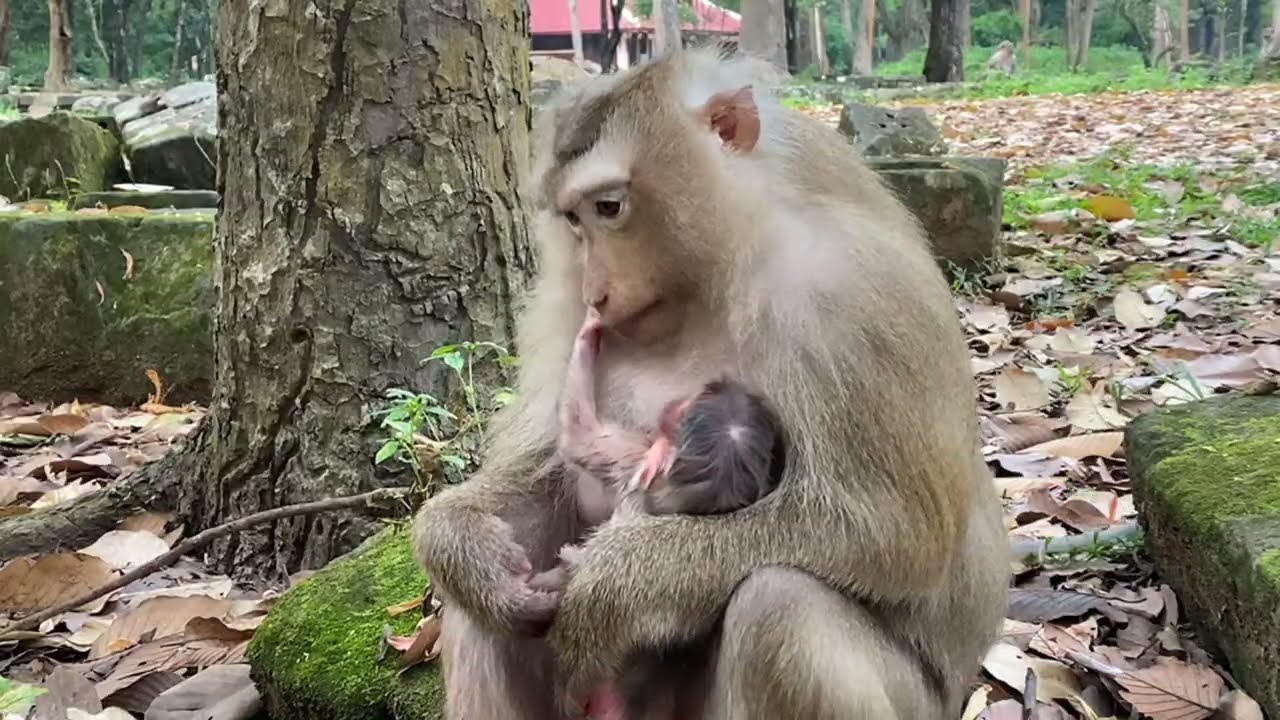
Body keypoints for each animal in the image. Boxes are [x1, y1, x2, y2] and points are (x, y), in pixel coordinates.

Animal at [412, 46, 1008, 720]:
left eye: (609, 207)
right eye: (571, 218)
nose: (595, 291)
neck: (713, 269)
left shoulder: (850, 292)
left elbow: (892, 532)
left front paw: (613, 588)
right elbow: (550, 474)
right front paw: (461, 543)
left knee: (781, 607)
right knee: (478, 614)